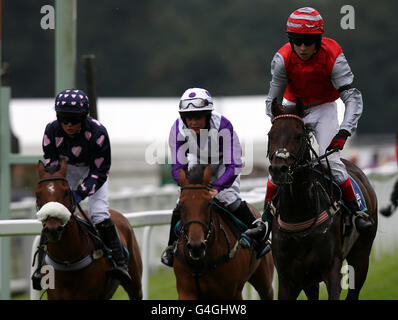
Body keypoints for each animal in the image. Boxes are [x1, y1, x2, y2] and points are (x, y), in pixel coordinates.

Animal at [173, 166, 276, 298]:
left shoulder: (233, 292)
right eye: (181, 205)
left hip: (264, 281)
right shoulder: (186, 291)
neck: (201, 264)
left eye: (208, 204)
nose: (196, 247)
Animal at [268, 100, 378, 300]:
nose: (279, 170)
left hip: (361, 255)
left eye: (298, 136)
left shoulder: (332, 270)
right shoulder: (288, 279)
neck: (299, 214)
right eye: (270, 135)